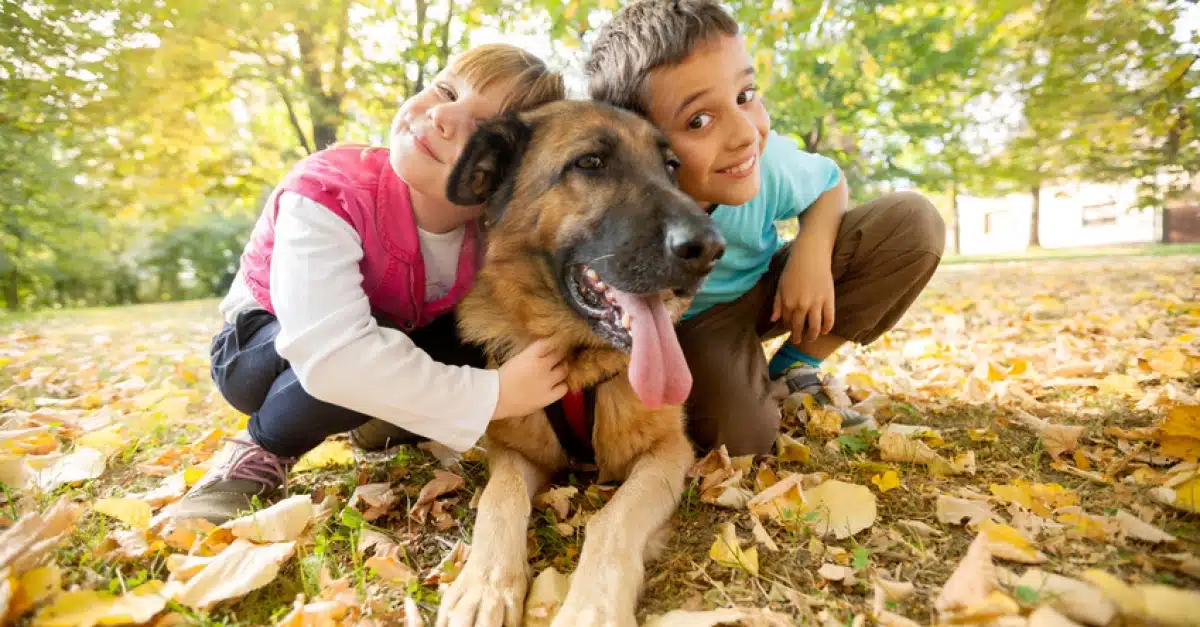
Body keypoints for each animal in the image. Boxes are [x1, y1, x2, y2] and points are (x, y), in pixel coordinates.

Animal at [439, 99, 724, 624]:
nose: (712, 250)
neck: (578, 362)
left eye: (671, 167)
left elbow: (611, 521)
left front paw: (592, 606)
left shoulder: (669, 451)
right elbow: (499, 500)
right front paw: (485, 585)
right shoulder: (512, 451)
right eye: (590, 162)